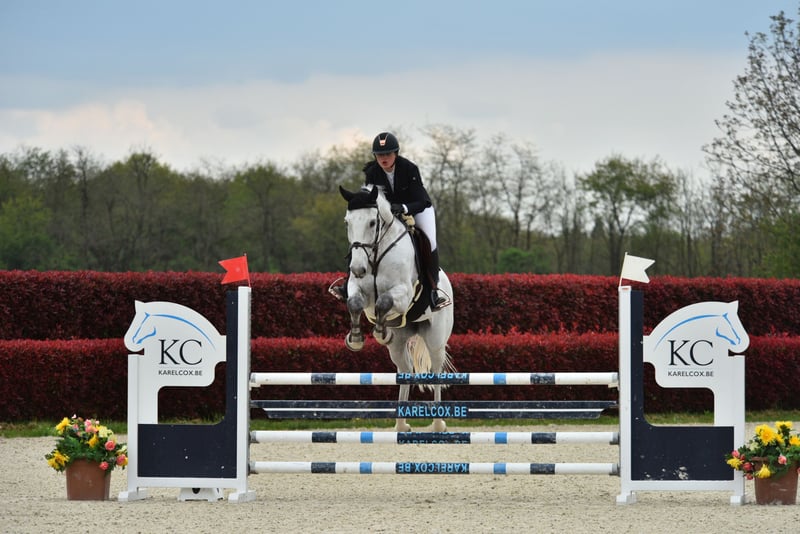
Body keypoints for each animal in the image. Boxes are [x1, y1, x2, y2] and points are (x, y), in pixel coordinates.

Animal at [338, 184, 455, 432]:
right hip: (400, 344)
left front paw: (380, 333)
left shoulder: (403, 293)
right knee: (405, 370)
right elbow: (355, 303)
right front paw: (356, 338)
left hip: (435, 339)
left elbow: (384, 301)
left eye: (372, 222)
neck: (375, 255)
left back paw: (438, 423)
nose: (358, 269)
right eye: (347, 222)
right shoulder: (357, 289)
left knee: (436, 372)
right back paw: (401, 425)